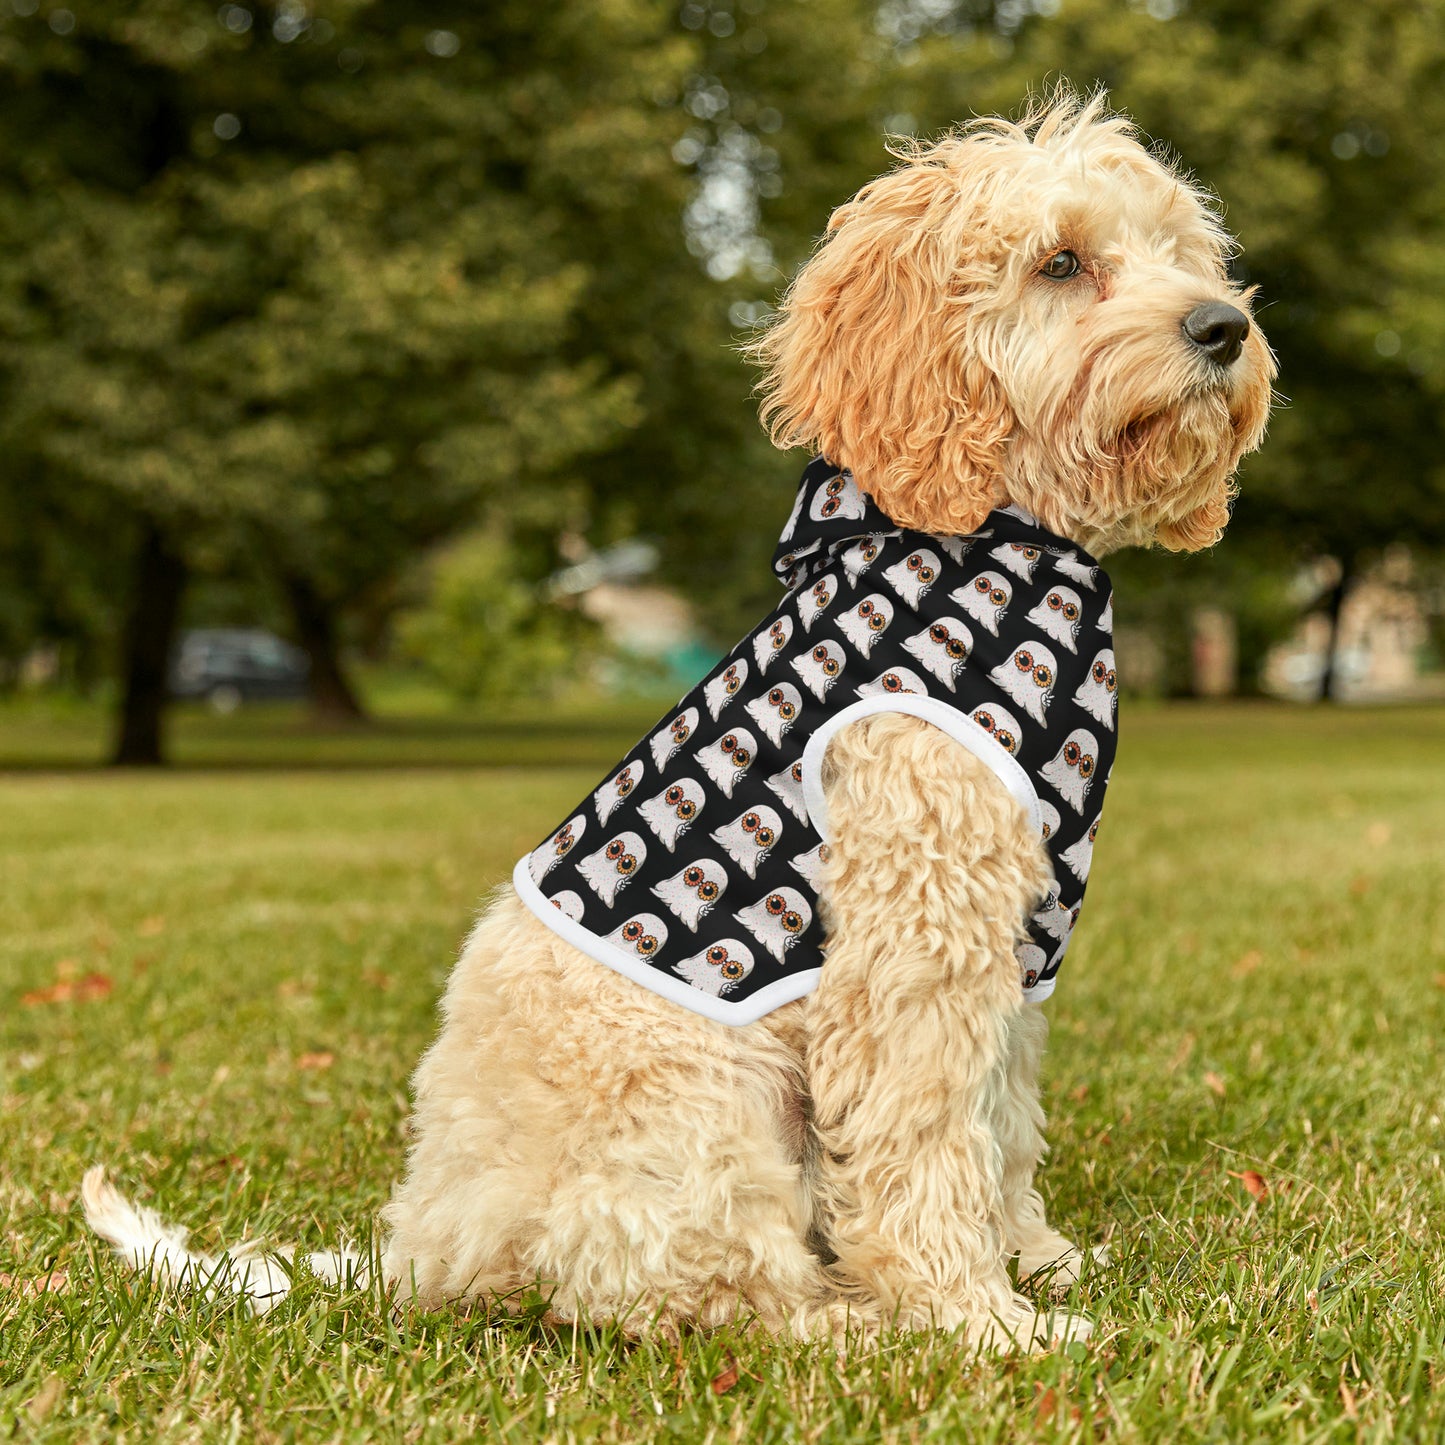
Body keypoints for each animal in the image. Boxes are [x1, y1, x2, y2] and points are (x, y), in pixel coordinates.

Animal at [84, 96, 1271, 1346]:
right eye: (1060, 262)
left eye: (1180, 252)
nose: (1222, 326)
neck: (997, 538)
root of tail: (423, 1247)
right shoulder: (912, 938)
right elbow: (925, 1137)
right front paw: (977, 1319)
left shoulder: (1014, 940)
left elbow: (999, 1121)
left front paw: (1034, 1260)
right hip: (704, 1110)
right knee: (702, 1289)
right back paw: (848, 1320)